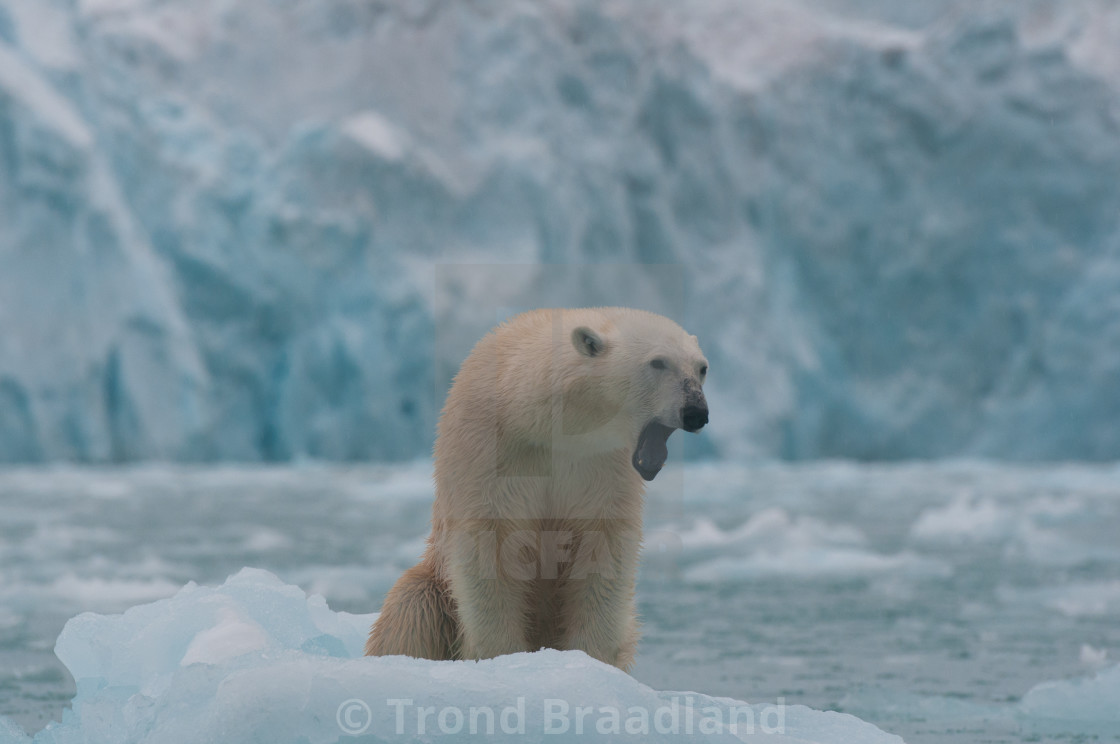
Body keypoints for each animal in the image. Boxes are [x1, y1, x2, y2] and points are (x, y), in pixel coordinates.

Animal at [367, 307, 707, 667]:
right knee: (411, 612)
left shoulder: (603, 468)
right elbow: (488, 550)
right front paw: (503, 656)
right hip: (433, 582)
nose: (696, 412)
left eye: (702, 367)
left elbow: (604, 550)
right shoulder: (486, 453)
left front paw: (587, 658)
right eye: (658, 363)